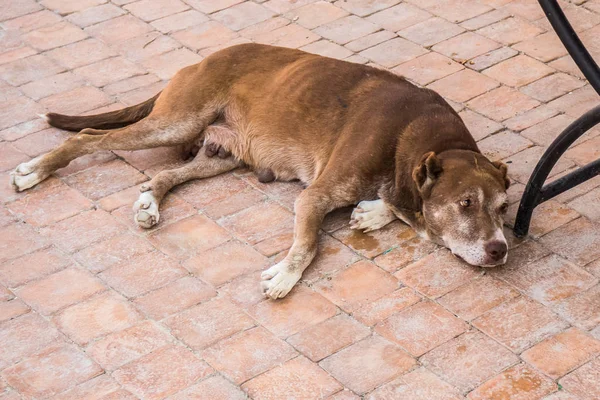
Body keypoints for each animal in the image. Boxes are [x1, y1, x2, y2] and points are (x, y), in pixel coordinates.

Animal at [10, 43, 506, 300]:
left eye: (503, 208)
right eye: (466, 203)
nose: (501, 249)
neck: (416, 136)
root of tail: (200, 60)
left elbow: (396, 204)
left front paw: (375, 211)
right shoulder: (314, 196)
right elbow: (307, 245)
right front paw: (284, 274)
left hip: (221, 154)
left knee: (168, 176)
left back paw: (150, 203)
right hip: (175, 121)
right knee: (88, 136)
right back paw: (34, 170)